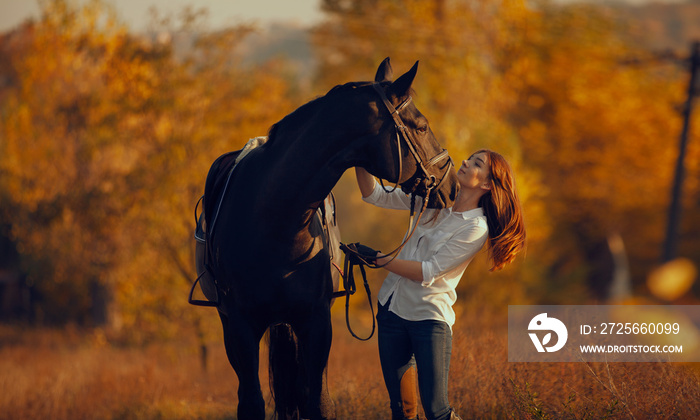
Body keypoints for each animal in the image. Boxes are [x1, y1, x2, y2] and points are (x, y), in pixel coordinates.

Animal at [197, 58, 460, 420]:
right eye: (421, 127)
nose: (451, 184)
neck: (272, 219)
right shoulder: (238, 327)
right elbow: (251, 403)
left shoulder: (317, 322)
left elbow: (316, 402)